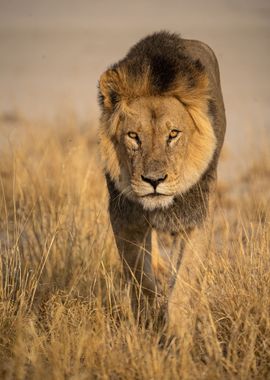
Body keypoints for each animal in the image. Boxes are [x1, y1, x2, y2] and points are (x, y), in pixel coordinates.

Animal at [97, 31, 226, 336]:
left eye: (173, 134)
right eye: (133, 136)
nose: (153, 181)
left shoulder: (196, 218)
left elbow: (184, 283)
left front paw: (177, 335)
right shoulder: (125, 219)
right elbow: (139, 276)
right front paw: (146, 320)